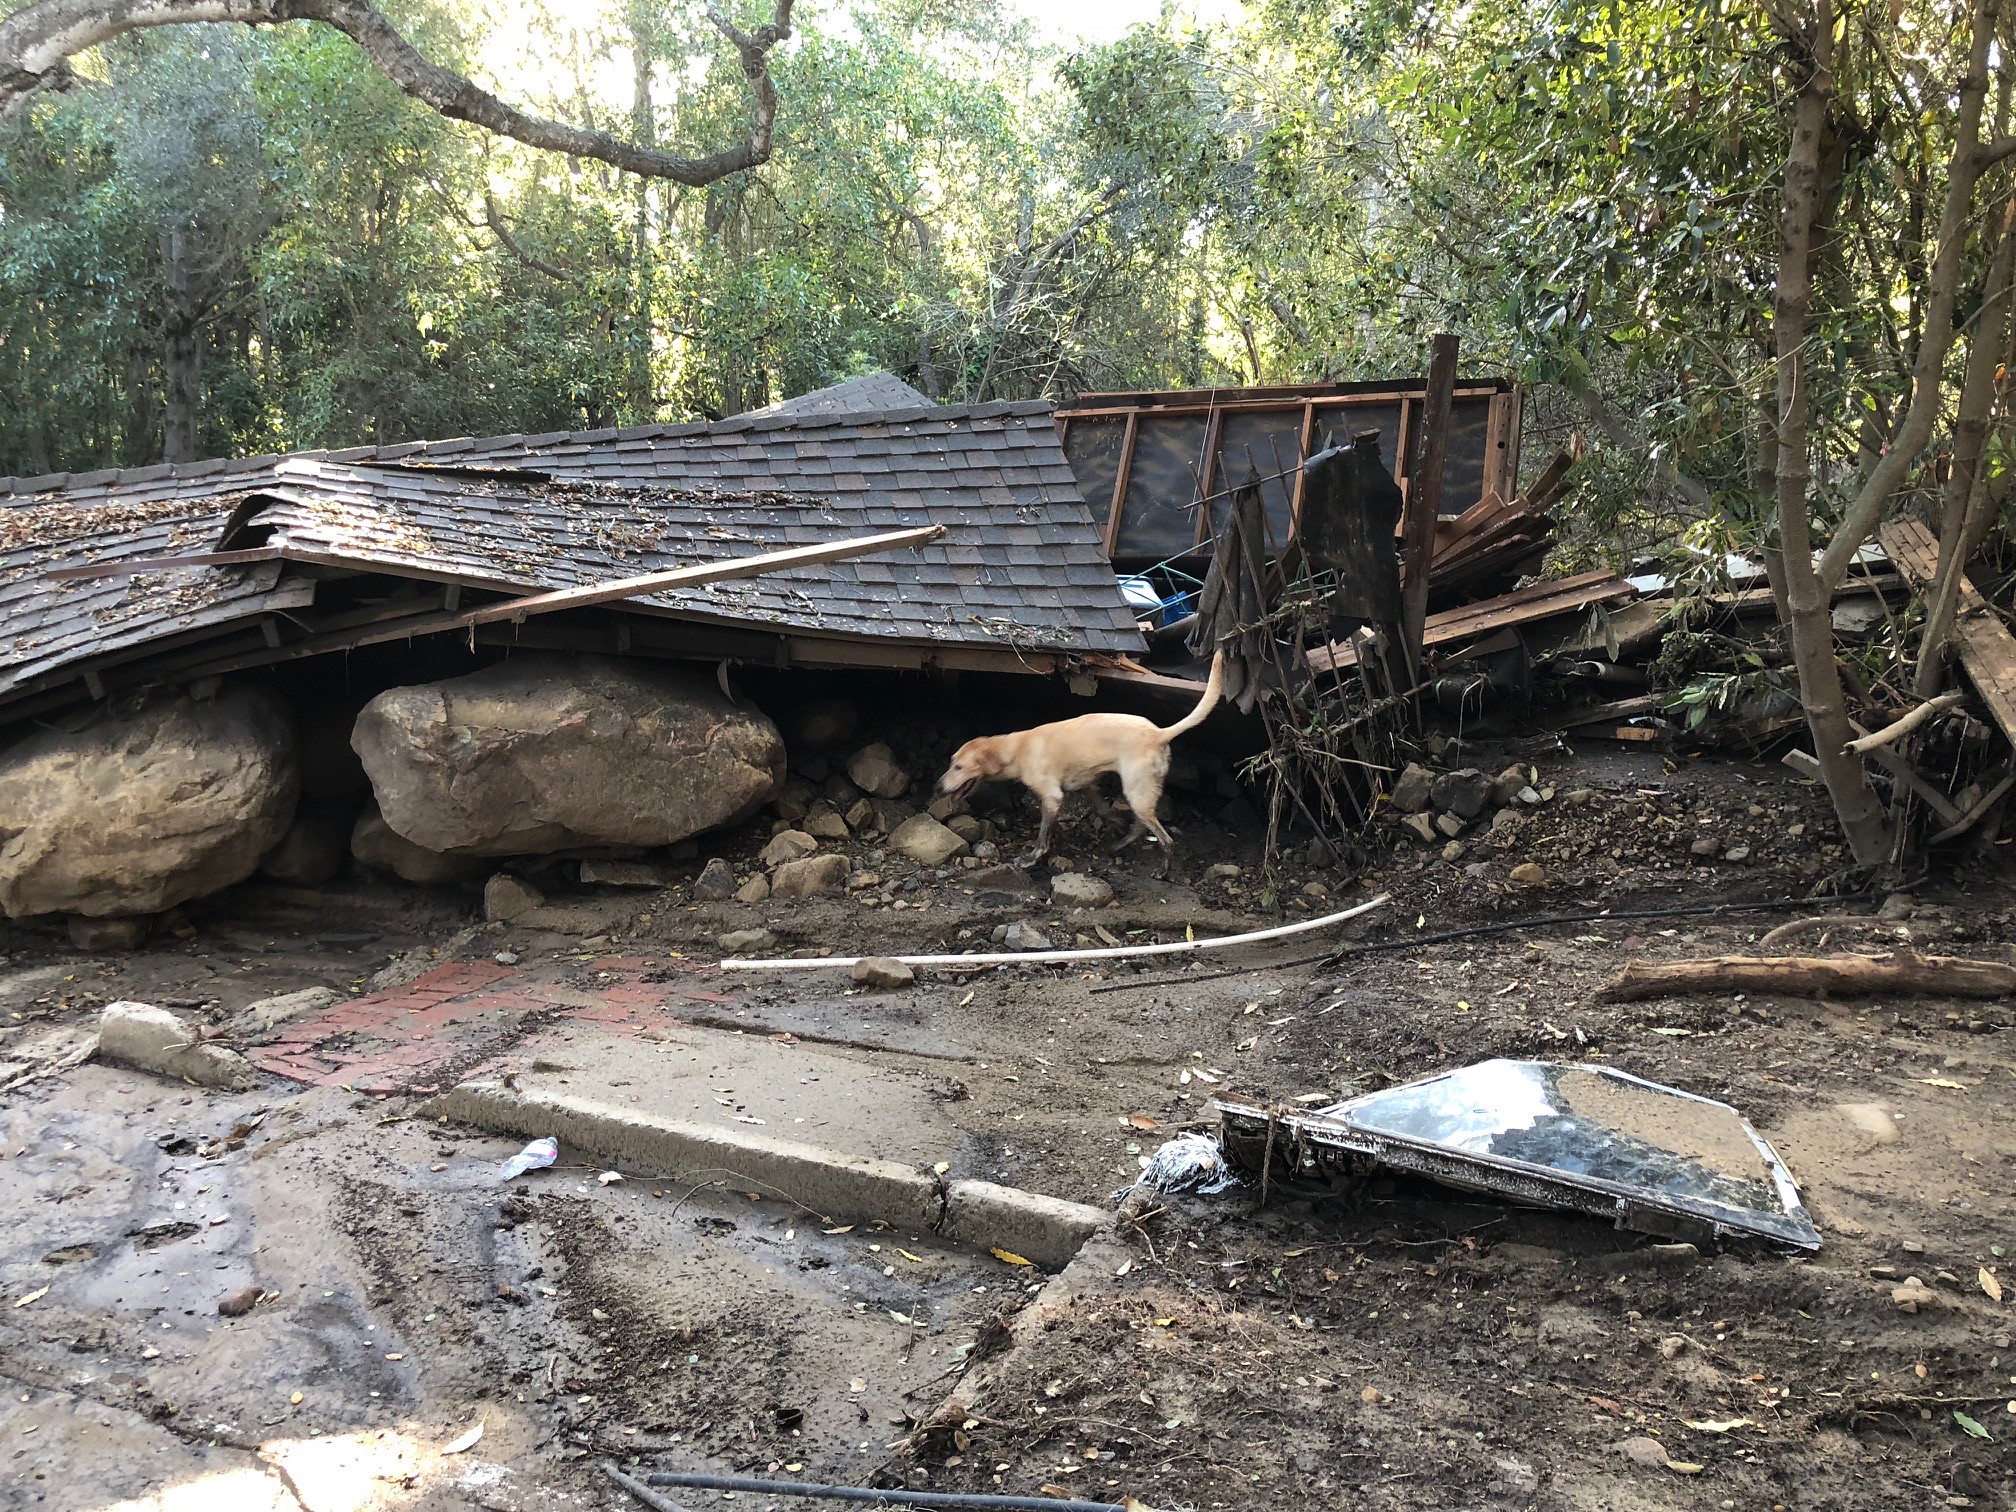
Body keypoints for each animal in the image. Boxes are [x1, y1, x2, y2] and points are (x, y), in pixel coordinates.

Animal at [931, 653, 1225, 874]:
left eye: (959, 767)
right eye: (952, 762)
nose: (936, 788)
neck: (1015, 747)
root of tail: (1159, 733)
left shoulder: (1052, 797)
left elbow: (1042, 839)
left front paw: (1030, 859)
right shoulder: (1088, 784)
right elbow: (1102, 809)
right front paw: (1114, 822)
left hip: (1136, 791)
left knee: (1166, 838)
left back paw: (1162, 870)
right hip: (1139, 794)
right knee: (1142, 824)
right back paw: (1119, 845)